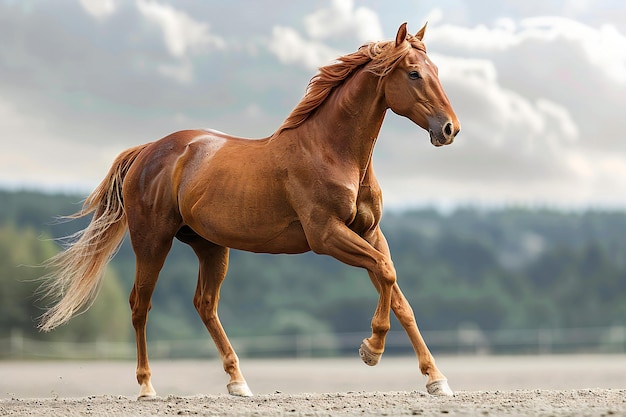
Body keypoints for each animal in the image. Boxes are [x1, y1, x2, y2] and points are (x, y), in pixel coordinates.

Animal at [39, 22, 458, 396]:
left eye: (437, 71)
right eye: (414, 73)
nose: (450, 129)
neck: (332, 152)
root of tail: (148, 150)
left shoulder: (369, 233)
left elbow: (399, 296)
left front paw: (436, 380)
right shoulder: (327, 236)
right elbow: (386, 273)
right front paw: (371, 350)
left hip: (210, 246)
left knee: (205, 305)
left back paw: (238, 382)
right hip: (152, 242)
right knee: (140, 305)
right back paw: (146, 387)